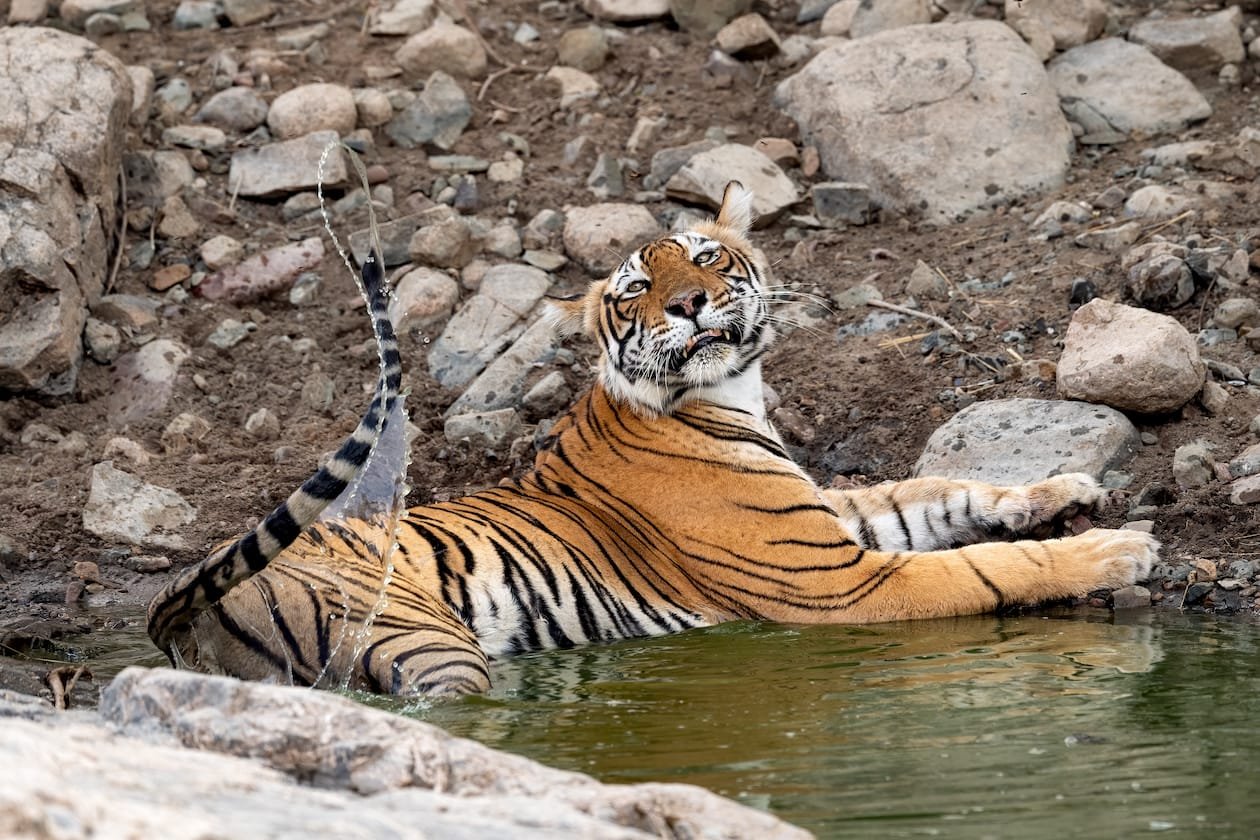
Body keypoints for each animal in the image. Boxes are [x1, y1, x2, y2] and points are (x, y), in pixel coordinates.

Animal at [147, 181, 1159, 697]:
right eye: (637, 289)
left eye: (705, 255)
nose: (689, 303)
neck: (735, 394)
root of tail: (180, 611)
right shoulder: (834, 584)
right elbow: (986, 568)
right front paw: (1116, 550)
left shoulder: (830, 524)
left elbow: (936, 494)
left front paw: (1063, 489)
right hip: (421, 639)